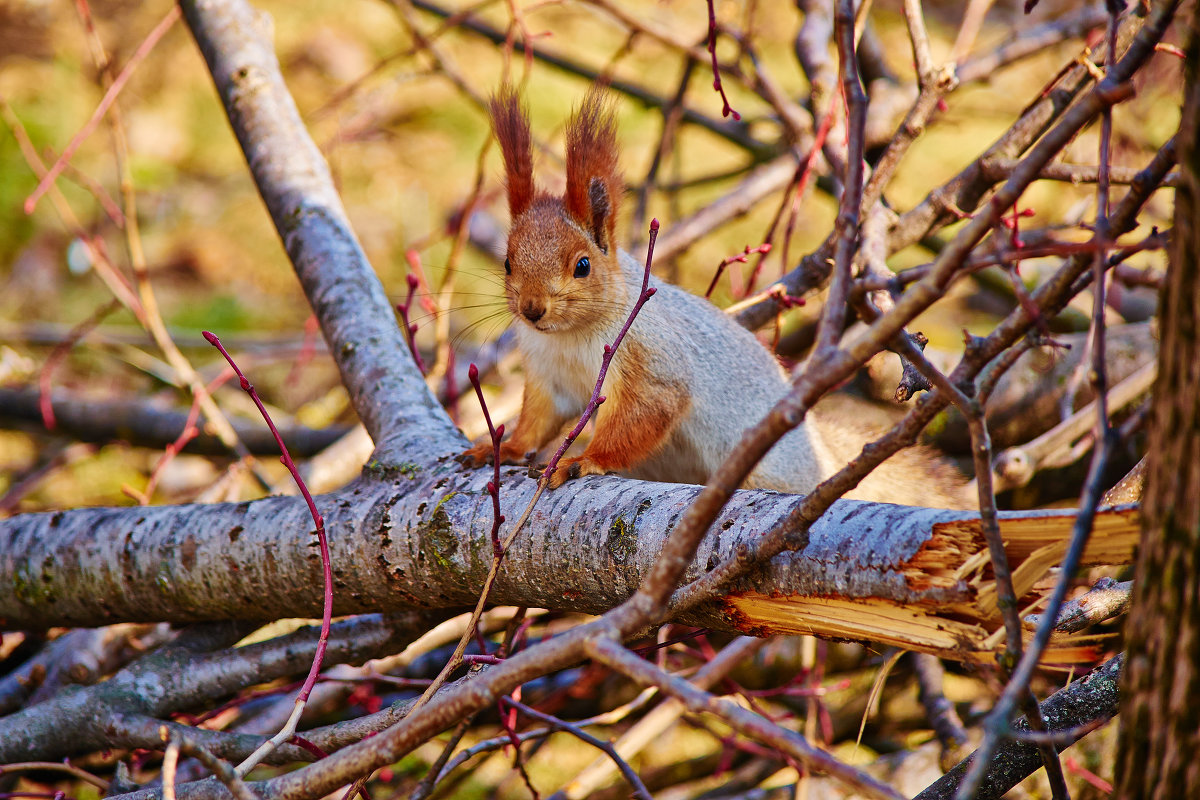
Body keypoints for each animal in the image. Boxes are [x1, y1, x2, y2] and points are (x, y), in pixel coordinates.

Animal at [458, 86, 964, 506]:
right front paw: (501, 448)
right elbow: (537, 421)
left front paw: (583, 459)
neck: (567, 336)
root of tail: (819, 449)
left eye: (582, 265)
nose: (532, 309)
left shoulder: (652, 360)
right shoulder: (547, 375)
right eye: (507, 262)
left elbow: (641, 416)